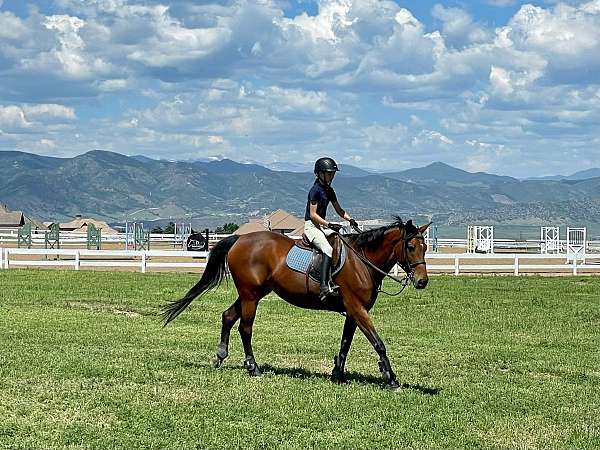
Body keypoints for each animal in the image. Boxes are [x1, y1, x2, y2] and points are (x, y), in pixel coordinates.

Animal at [162, 218, 428, 390]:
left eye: (425, 247)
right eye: (410, 247)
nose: (422, 281)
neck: (361, 260)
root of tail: (240, 239)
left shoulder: (353, 312)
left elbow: (345, 343)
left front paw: (338, 375)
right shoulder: (357, 309)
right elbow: (378, 343)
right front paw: (391, 379)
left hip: (255, 293)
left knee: (228, 316)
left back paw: (219, 357)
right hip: (250, 295)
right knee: (245, 329)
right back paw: (253, 367)